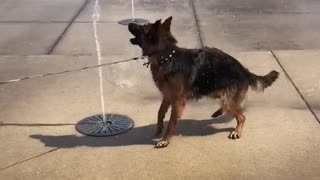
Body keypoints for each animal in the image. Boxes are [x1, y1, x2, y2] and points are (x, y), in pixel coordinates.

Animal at [128, 16, 280, 148]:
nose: (129, 23)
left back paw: (237, 130)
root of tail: (244, 70)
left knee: (241, 116)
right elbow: (160, 113)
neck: (167, 56)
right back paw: (219, 112)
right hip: (216, 90)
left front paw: (165, 140)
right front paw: (159, 130)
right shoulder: (167, 96)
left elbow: (171, 122)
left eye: (143, 28)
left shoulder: (177, 102)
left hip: (226, 98)